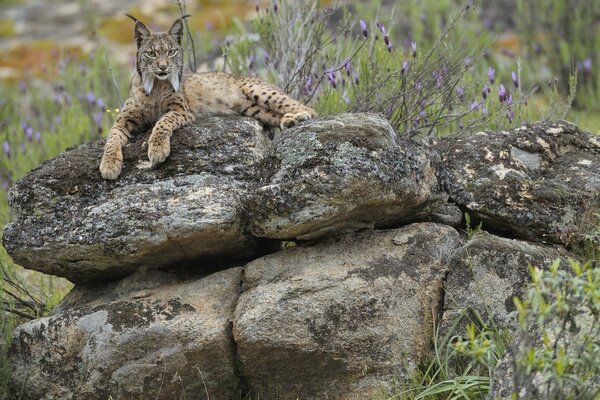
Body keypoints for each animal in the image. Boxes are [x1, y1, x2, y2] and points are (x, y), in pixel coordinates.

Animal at [99, 15, 316, 178]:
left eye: (171, 52)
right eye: (151, 53)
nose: (163, 67)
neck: (156, 84)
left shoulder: (181, 111)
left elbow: (162, 123)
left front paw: (157, 149)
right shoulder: (123, 120)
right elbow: (111, 139)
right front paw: (109, 165)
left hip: (256, 89)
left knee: (307, 108)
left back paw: (301, 116)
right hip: (252, 109)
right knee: (274, 114)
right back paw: (289, 120)